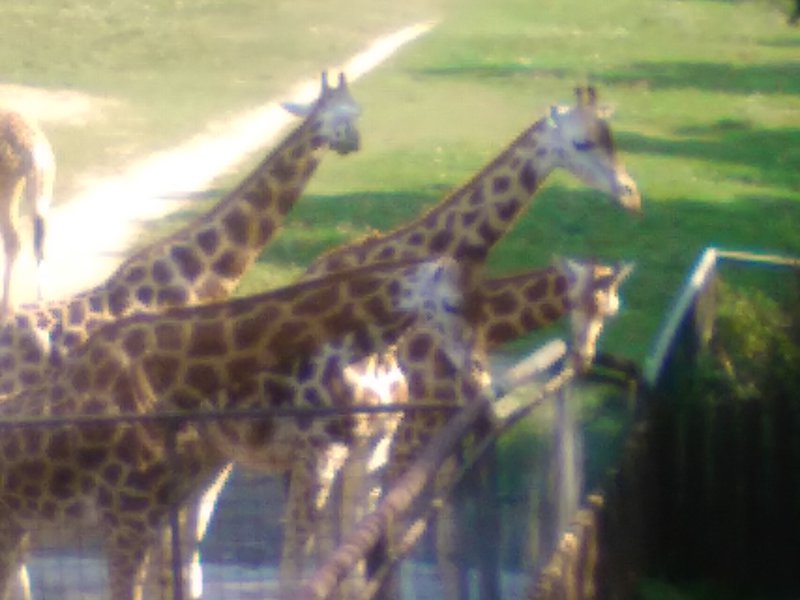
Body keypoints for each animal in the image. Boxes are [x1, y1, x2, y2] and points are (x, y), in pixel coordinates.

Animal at [0, 255, 482, 600]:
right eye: (453, 304)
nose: (479, 377)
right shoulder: (319, 452)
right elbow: (299, 567)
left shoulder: (372, 445)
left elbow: (356, 549)